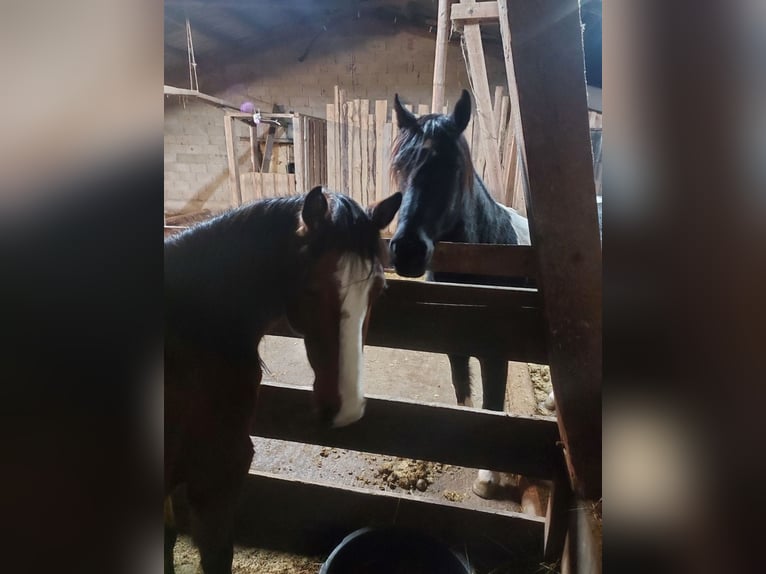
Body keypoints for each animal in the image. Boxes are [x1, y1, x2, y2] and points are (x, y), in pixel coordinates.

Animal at [388, 90, 532, 500]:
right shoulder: (454, 341)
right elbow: (462, 390)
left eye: (452, 167)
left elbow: (492, 403)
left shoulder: (496, 352)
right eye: (400, 168)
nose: (407, 251)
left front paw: (487, 478)